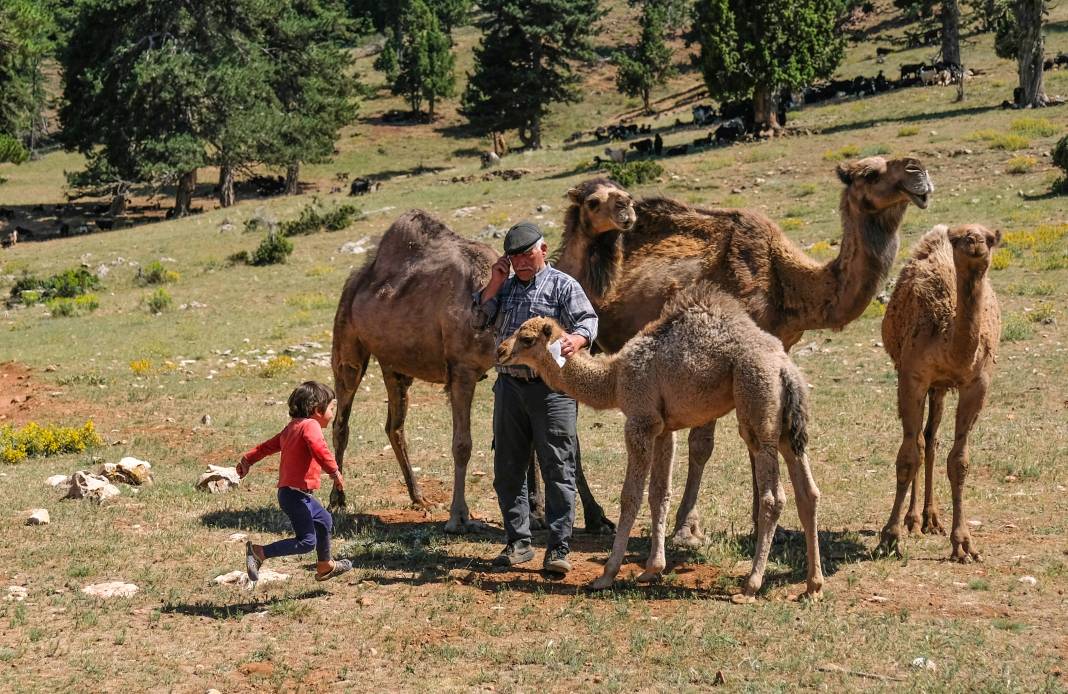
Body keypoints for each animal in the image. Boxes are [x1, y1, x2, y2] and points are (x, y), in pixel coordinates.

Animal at [328, 210, 615, 535]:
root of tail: (359, 277)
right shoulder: (462, 370)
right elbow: (463, 444)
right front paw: (459, 517)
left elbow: (540, 445)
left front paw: (551, 515)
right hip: (347, 343)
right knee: (342, 418)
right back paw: (338, 499)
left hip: (395, 365)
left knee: (394, 425)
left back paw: (419, 497)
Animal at [495, 284, 820, 597]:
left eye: (526, 338)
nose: (500, 350)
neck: (614, 378)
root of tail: (785, 368)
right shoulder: (664, 428)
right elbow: (659, 493)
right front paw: (653, 569)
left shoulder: (640, 421)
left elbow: (631, 496)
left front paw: (606, 575)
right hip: (786, 425)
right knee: (808, 492)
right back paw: (812, 586)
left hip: (757, 408)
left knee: (773, 497)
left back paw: (750, 585)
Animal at [551, 156, 935, 546]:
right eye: (871, 174)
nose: (917, 171)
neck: (787, 282)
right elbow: (702, 444)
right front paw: (687, 529)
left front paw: (768, 528)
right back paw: (591, 517)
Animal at [875, 224, 999, 559]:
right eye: (960, 239)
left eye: (991, 237)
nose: (975, 242)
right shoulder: (912, 377)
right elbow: (907, 456)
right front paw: (889, 537)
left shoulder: (976, 384)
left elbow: (959, 462)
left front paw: (964, 544)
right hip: (927, 383)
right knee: (919, 441)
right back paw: (913, 520)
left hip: (941, 388)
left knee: (930, 439)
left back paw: (930, 519)